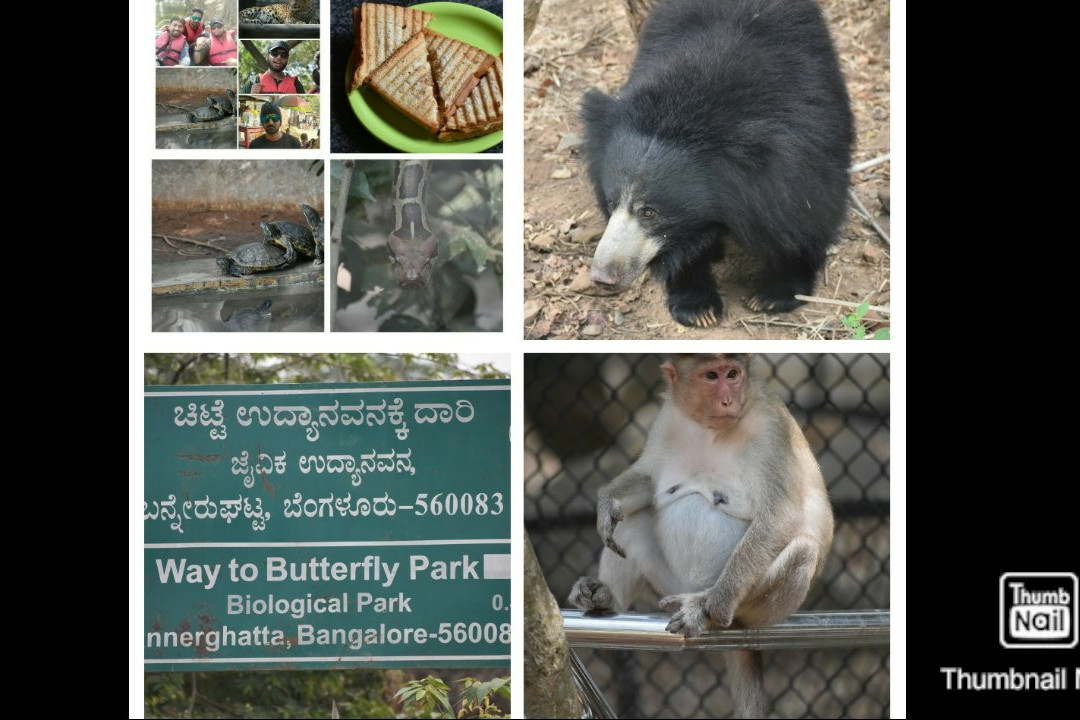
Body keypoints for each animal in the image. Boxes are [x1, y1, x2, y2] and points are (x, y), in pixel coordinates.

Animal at [570, 354, 829, 720]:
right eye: (711, 376)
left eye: (733, 374)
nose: (728, 400)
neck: (711, 431)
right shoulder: (668, 419)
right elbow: (649, 480)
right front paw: (609, 503)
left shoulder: (772, 428)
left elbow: (779, 517)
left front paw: (712, 606)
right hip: (667, 583)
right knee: (632, 524)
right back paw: (605, 596)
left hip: (763, 610)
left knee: (803, 549)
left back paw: (706, 608)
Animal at [583, 0, 851, 325]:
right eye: (610, 203)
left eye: (649, 212)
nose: (602, 277)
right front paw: (698, 308)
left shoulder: (806, 141)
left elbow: (807, 210)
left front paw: (773, 295)